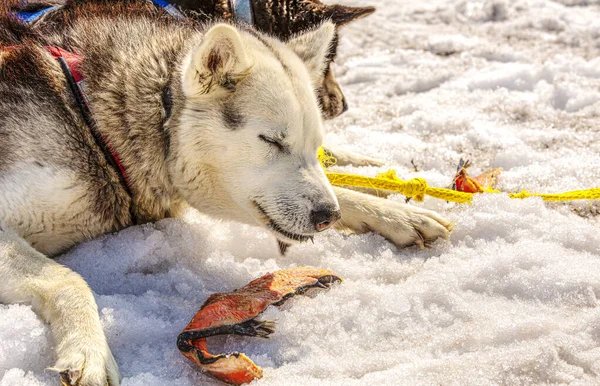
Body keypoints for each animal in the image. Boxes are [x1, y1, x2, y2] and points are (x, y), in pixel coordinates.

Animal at [0, 6, 450, 386]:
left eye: (314, 145)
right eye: (272, 140)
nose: (326, 216)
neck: (96, 125)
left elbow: (341, 189)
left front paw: (394, 214)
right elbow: (68, 279)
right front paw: (87, 350)